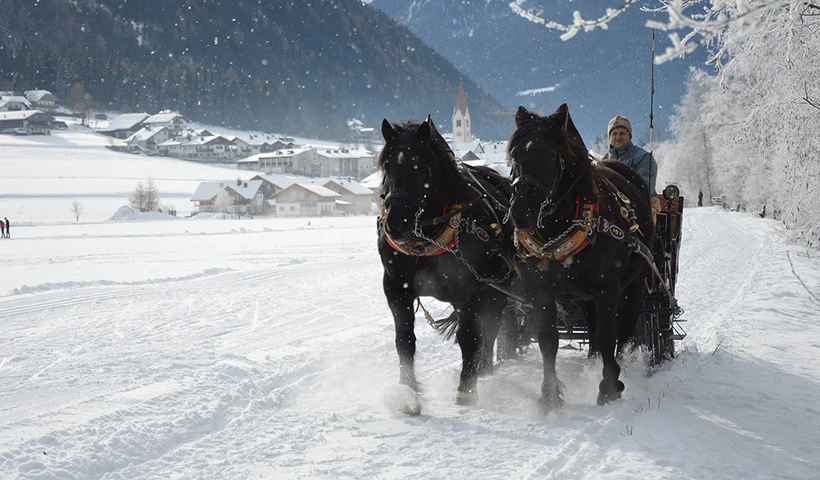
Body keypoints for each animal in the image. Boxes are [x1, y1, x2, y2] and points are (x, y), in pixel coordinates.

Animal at [376, 114, 512, 414]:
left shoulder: (468, 291)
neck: (426, 236)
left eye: (421, 168)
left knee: (492, 325)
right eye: (387, 165)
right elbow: (404, 341)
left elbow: (469, 337)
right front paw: (409, 395)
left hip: (498, 287)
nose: (396, 224)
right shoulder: (396, 288)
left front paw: (466, 389)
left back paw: (484, 370)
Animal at [506, 105, 652, 412]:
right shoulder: (540, 290)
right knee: (593, 325)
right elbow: (548, 340)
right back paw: (593, 365)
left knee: (625, 325)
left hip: (634, 281)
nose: (521, 212)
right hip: (583, 294)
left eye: (550, 155)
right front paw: (549, 397)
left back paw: (624, 367)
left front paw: (610, 387)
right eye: (515, 154)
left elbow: (609, 335)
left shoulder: (607, 287)